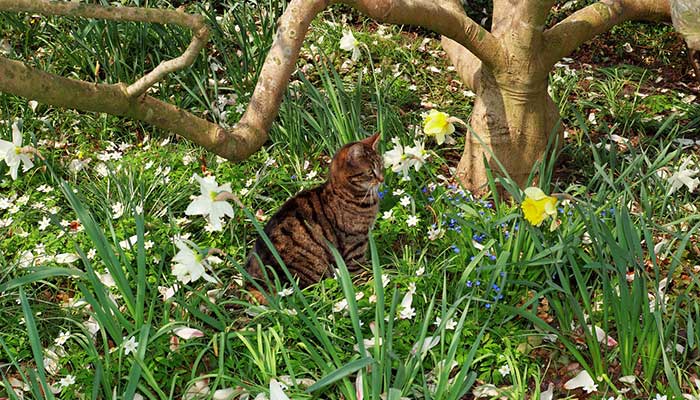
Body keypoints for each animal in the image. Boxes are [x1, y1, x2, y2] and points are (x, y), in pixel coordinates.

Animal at [247, 134, 382, 288]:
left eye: (381, 166)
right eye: (370, 172)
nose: (382, 179)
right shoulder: (355, 243)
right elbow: (358, 268)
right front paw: (369, 281)